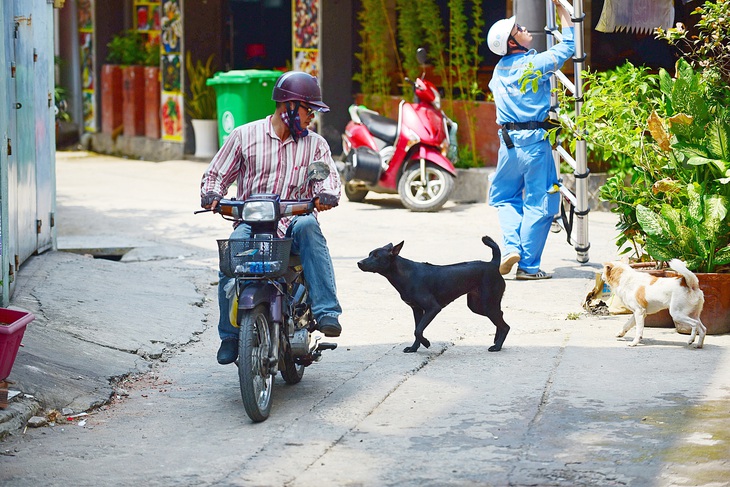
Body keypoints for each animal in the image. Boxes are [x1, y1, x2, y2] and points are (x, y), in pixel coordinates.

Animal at [356, 235, 506, 352]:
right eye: (369, 254)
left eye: (376, 256)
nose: (359, 263)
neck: (405, 274)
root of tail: (493, 264)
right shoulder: (417, 310)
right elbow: (417, 329)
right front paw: (414, 348)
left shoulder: (433, 308)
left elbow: (418, 330)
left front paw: (426, 343)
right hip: (477, 306)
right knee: (501, 315)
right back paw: (496, 340)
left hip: (487, 305)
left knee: (505, 326)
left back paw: (497, 346)